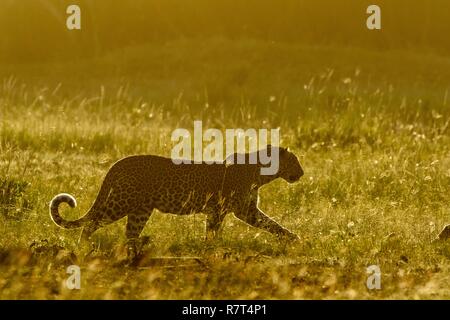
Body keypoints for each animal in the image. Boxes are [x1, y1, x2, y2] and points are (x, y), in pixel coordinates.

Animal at [49, 145, 304, 255]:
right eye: (294, 161)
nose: (302, 173)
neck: (261, 173)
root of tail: (118, 163)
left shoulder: (230, 211)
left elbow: (215, 231)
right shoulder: (241, 210)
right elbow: (270, 224)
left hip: (140, 210)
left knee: (129, 233)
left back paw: (138, 251)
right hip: (119, 202)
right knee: (92, 223)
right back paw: (85, 247)